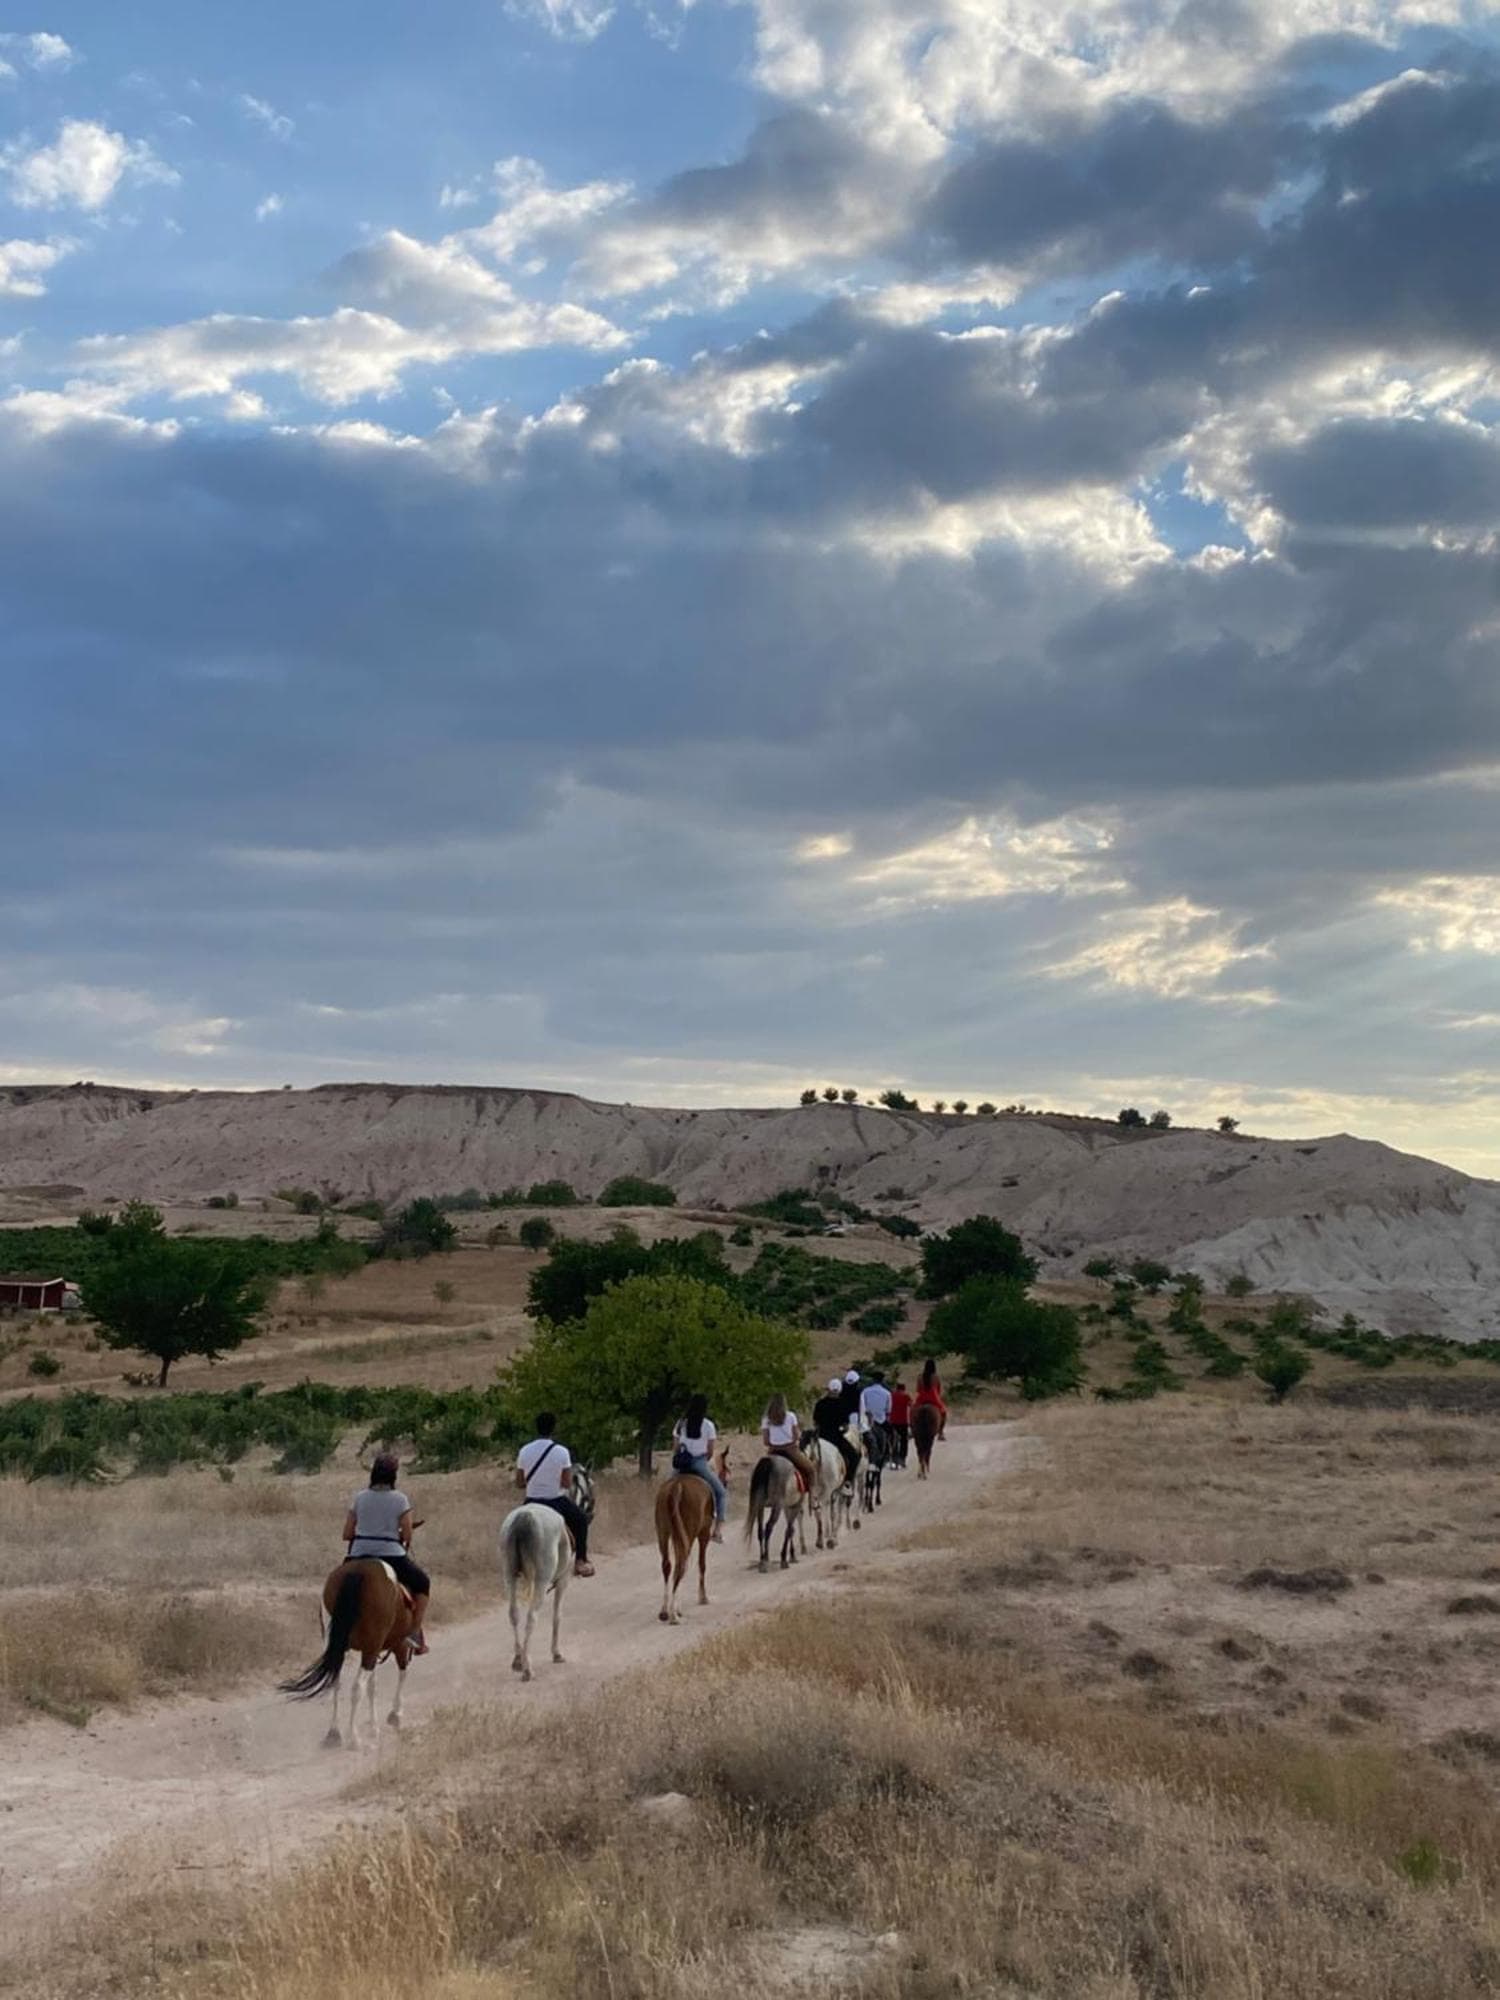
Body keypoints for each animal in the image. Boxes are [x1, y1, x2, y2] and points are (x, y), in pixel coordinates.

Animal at [280, 1558, 416, 1750]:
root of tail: (358, 1570)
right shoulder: (397, 1644)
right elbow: (401, 1674)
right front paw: (395, 1715)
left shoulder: (373, 1650)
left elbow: (372, 1686)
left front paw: (374, 1727)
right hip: (374, 1647)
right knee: (357, 1687)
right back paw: (354, 1738)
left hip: (340, 1646)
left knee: (336, 1682)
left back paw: (334, 1733)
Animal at [500, 1464, 594, 1683]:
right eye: (589, 1485)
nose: (590, 1513)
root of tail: (523, 1518)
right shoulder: (563, 1580)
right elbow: (557, 1615)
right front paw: (556, 1653)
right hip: (542, 1580)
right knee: (531, 1616)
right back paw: (527, 1669)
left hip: (509, 1575)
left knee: (513, 1614)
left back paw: (518, 1660)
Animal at [655, 1445, 730, 1624]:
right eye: (726, 1470)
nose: (725, 1484)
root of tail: (677, 1487)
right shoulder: (703, 1534)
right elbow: (702, 1564)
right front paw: (703, 1597)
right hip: (688, 1533)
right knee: (681, 1564)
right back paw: (674, 1614)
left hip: (664, 1532)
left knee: (668, 1565)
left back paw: (665, 1611)